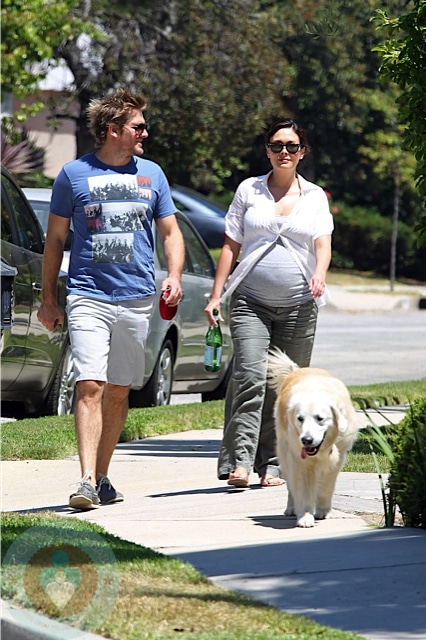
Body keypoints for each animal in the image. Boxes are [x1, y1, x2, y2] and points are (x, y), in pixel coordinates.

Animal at [268, 348, 358, 528]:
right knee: (291, 484)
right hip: (285, 452)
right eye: (300, 419)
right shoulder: (300, 461)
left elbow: (326, 487)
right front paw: (305, 516)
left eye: (320, 418)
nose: (306, 440)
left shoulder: (337, 459)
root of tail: (296, 370)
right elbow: (303, 489)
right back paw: (291, 508)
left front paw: (323, 511)